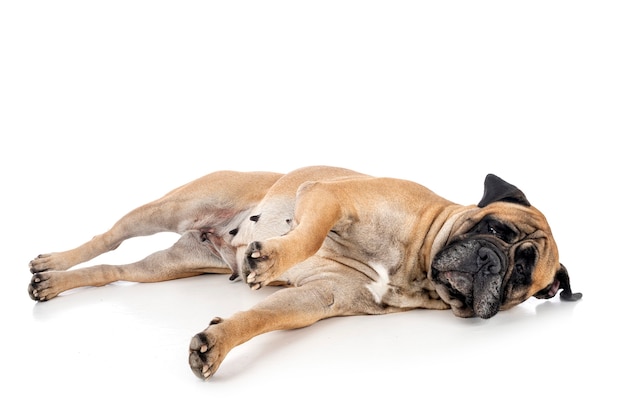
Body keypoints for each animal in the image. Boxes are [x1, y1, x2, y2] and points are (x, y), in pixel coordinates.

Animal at [26, 167, 576, 380]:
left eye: (521, 275)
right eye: (496, 229)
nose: (492, 261)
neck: (418, 261)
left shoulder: (316, 301)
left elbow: (261, 318)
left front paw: (218, 342)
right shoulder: (330, 197)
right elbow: (307, 235)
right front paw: (269, 258)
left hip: (162, 269)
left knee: (113, 269)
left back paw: (56, 283)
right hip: (168, 208)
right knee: (106, 239)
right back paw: (51, 264)